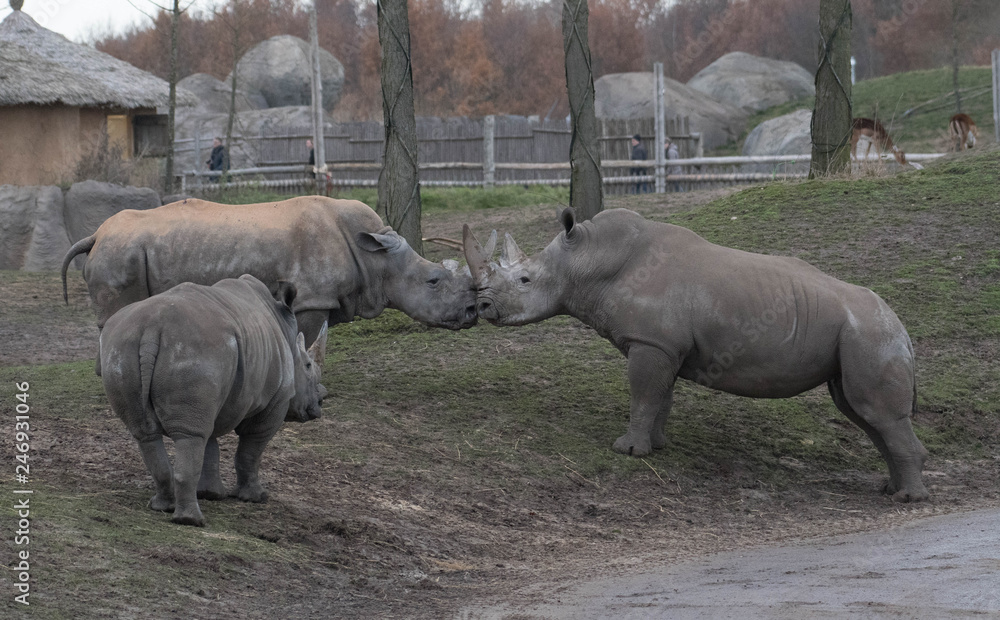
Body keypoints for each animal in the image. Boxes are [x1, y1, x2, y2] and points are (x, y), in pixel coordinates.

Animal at [62, 196, 477, 373]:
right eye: (434, 281)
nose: (474, 311)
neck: (376, 255)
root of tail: (95, 235)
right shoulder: (311, 298)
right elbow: (303, 340)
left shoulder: (323, 298)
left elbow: (318, 343)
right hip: (121, 251)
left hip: (124, 249)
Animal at [100, 275, 328, 526]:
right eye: (308, 366)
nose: (319, 405)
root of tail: (151, 328)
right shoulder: (275, 401)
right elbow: (250, 450)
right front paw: (256, 497)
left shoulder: (213, 397)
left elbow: (210, 444)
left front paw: (211, 494)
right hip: (196, 350)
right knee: (191, 436)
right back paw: (191, 520)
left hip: (122, 348)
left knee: (150, 433)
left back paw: (163, 506)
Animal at [464, 208, 929, 502]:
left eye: (524, 280)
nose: (482, 306)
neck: (588, 262)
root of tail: (904, 329)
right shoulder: (663, 345)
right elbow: (660, 397)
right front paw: (655, 446)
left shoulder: (650, 343)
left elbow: (643, 395)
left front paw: (627, 451)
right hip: (859, 334)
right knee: (859, 410)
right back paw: (891, 490)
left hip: (869, 333)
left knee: (873, 411)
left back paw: (907, 499)